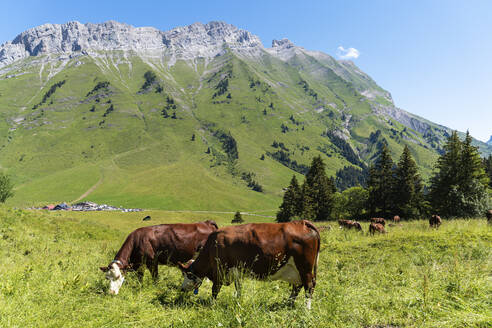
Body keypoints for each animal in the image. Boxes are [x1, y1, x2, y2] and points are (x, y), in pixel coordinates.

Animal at [179, 222, 320, 308]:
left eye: (187, 275)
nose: (182, 289)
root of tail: (303, 223)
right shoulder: (237, 271)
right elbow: (239, 288)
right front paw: (238, 302)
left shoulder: (220, 269)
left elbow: (215, 289)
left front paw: (212, 304)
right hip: (295, 270)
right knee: (297, 286)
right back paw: (288, 303)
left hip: (305, 267)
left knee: (309, 286)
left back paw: (306, 308)